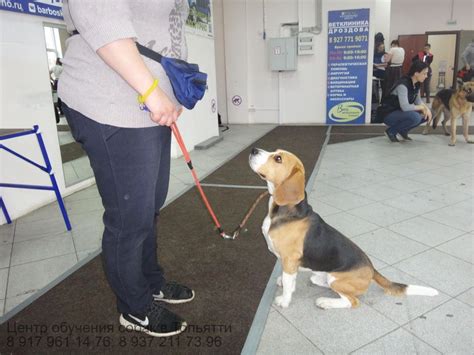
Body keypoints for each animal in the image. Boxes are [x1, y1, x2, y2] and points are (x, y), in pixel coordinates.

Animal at [250, 149, 438, 310]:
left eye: (278, 158)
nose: (253, 150)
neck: (284, 211)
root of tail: (371, 269)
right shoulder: (288, 263)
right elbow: (289, 279)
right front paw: (283, 281)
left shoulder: (289, 259)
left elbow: (289, 285)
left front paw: (284, 300)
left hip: (336, 280)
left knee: (351, 301)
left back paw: (325, 302)